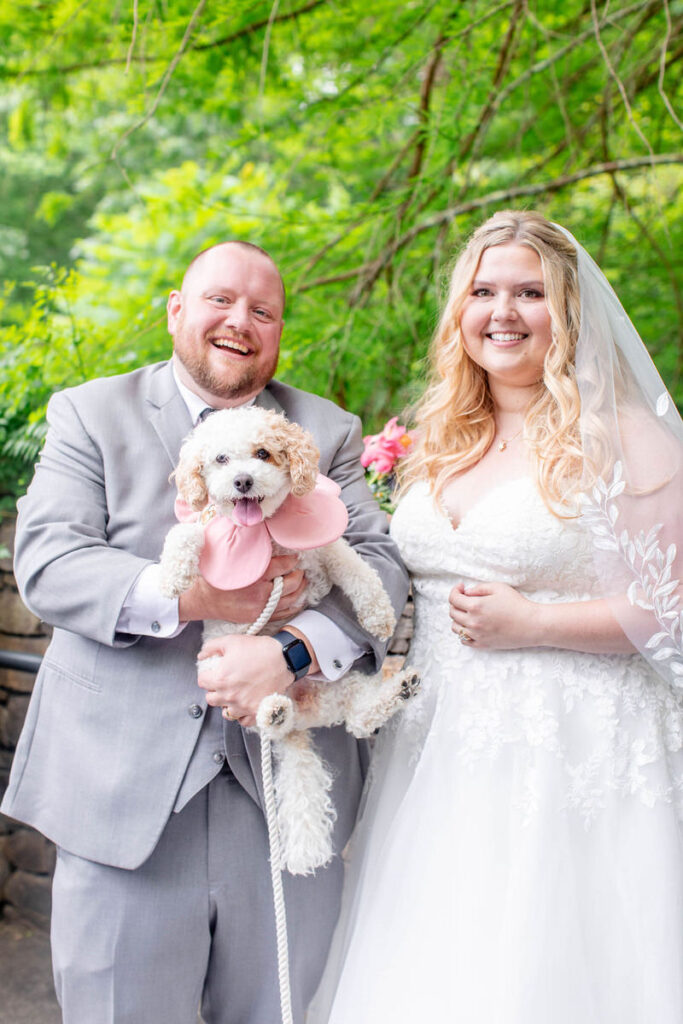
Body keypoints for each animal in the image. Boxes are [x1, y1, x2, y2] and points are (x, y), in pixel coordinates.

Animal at [158, 405, 419, 872]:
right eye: (220, 459)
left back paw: (397, 690)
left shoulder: (324, 550)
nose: (243, 480)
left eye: (263, 453)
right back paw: (274, 710)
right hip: (219, 673)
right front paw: (171, 577)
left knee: (358, 718)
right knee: (268, 720)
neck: (263, 532)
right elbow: (182, 534)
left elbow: (356, 568)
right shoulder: (206, 529)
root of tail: (299, 716)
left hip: (337, 687)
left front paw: (379, 614)